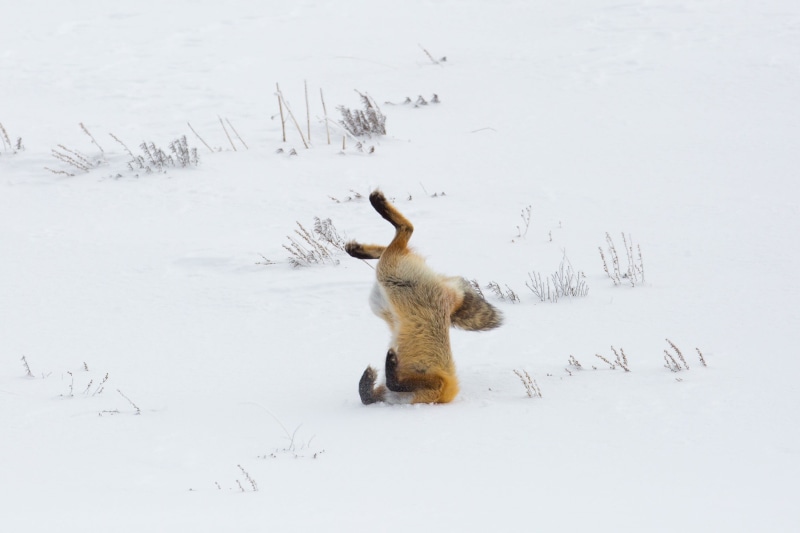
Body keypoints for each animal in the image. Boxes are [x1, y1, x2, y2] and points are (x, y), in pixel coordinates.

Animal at [345, 190, 503, 405]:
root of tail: (449, 298)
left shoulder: (437, 384)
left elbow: (383, 388)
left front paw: (382, 368)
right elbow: (370, 394)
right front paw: (375, 374)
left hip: (387, 281)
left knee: (405, 232)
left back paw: (375, 211)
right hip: (386, 286)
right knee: (400, 237)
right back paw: (360, 243)